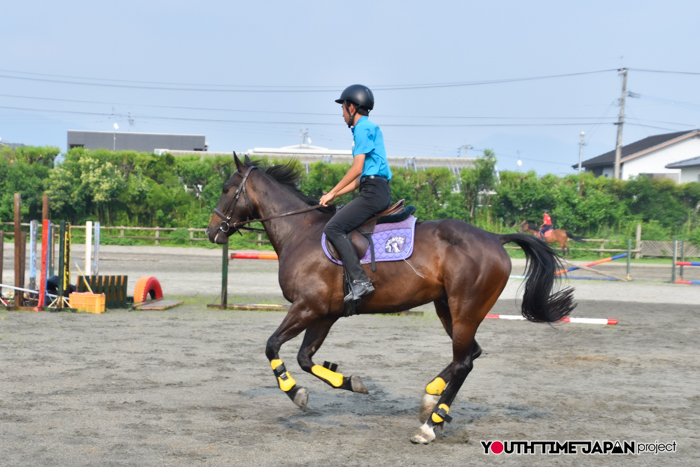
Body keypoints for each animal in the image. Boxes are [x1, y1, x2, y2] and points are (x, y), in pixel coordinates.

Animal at [206, 155, 576, 444]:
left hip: (465, 310)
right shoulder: (324, 314)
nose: (211, 231)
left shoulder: (307, 307)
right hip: (448, 309)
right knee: (471, 353)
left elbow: (273, 347)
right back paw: (431, 398)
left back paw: (430, 424)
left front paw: (294, 392)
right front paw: (349, 382)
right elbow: (305, 358)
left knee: (465, 361)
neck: (301, 232)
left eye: (226, 189)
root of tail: (495, 238)